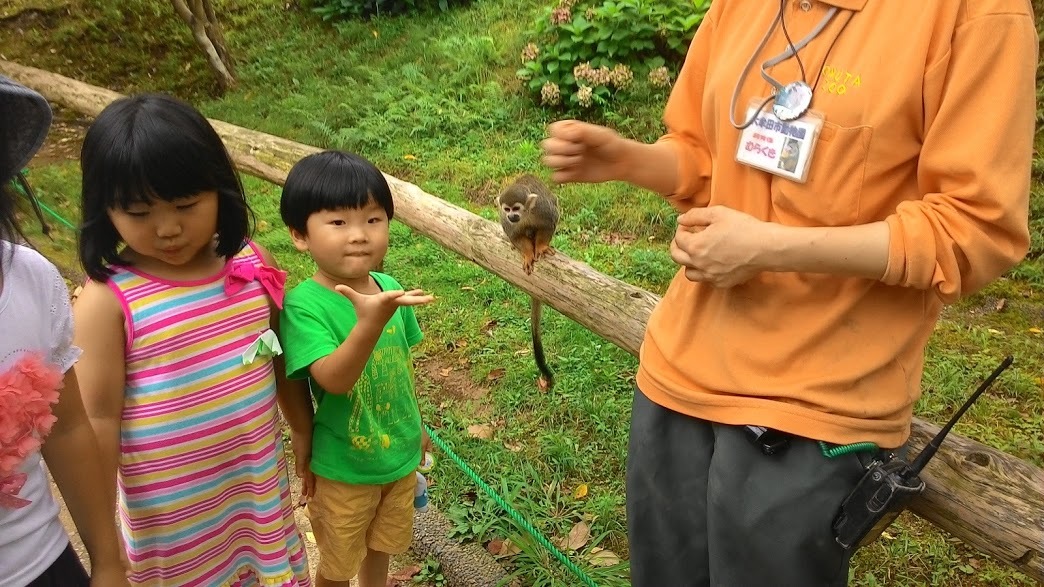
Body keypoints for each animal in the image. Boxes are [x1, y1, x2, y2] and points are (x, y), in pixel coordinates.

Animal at [494, 171, 559, 386]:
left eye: (516, 208)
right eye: (507, 209)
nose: (511, 215)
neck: (526, 215)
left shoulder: (544, 209)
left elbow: (549, 223)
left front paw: (541, 247)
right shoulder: (505, 220)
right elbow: (515, 236)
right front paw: (528, 253)